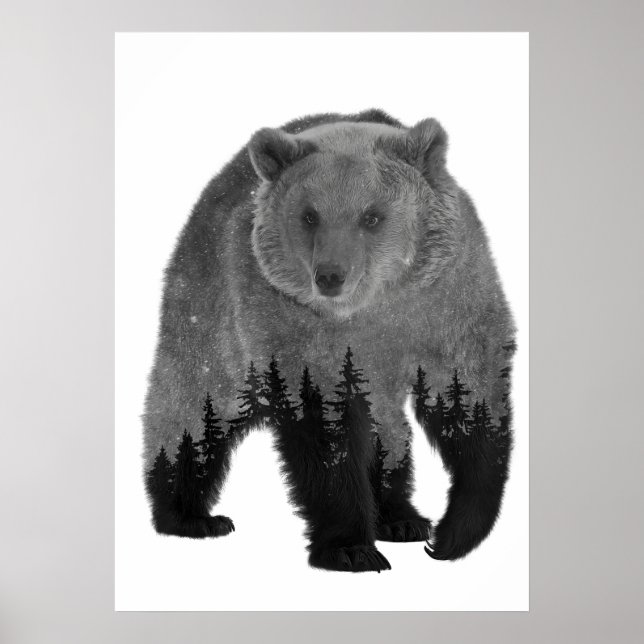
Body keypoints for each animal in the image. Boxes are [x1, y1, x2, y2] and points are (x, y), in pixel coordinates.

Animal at [143, 108, 516, 573]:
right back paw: (190, 515)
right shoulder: (293, 331)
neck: (372, 311)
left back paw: (400, 517)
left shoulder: (448, 303)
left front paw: (451, 534)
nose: (331, 275)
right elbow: (326, 435)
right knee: (191, 408)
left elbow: (469, 400)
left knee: (389, 432)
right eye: (309, 215)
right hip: (212, 318)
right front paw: (351, 547)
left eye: (372, 216)